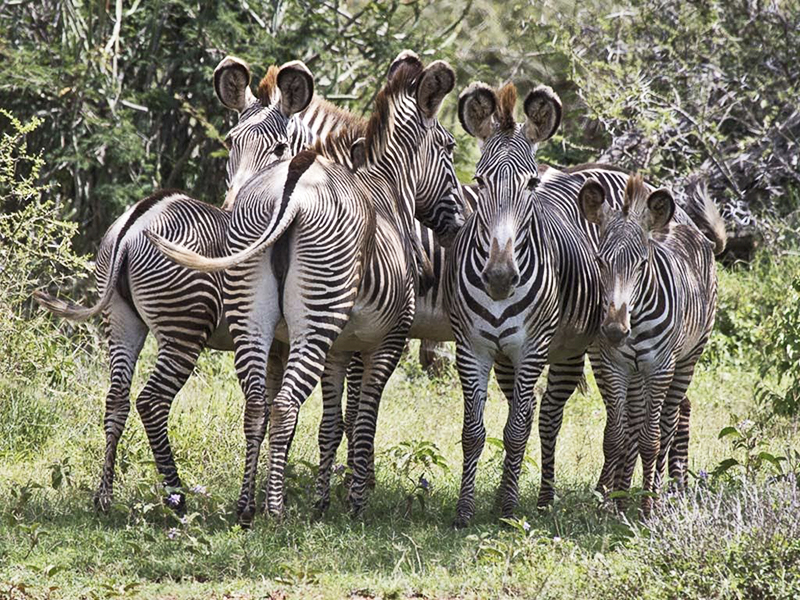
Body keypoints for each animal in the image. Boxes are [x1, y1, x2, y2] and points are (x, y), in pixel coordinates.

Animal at [32, 55, 360, 510]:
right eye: (231, 142)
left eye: (278, 149)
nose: (235, 205)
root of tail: (135, 225)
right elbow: (291, 411)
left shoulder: (274, 342)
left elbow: (267, 408)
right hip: (184, 324)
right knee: (151, 401)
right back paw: (176, 496)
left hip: (120, 321)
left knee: (116, 398)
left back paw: (105, 498)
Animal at [148, 51, 462, 524]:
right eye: (450, 147)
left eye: (277, 147)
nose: (460, 220)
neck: (385, 188)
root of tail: (292, 192)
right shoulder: (384, 340)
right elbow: (362, 420)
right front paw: (354, 501)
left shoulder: (336, 346)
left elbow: (330, 423)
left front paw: (322, 499)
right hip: (316, 318)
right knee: (280, 405)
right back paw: (273, 511)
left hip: (253, 317)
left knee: (256, 405)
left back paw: (247, 507)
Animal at [576, 173, 724, 516]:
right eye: (600, 261)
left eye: (642, 265)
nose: (614, 330)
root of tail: (692, 230)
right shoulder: (615, 366)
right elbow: (615, 436)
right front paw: (611, 503)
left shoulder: (659, 368)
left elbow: (651, 440)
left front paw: (647, 507)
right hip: (635, 374)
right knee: (636, 425)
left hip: (686, 361)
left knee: (667, 425)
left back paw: (662, 493)